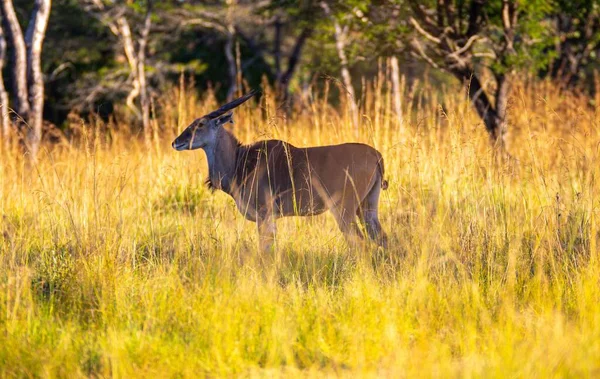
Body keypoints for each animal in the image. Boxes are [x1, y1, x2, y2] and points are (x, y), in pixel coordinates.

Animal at [173, 91, 390, 252]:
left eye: (200, 124)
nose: (176, 142)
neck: (239, 161)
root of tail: (376, 155)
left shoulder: (265, 216)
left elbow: (264, 250)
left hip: (344, 210)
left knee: (360, 242)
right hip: (367, 207)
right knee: (382, 238)